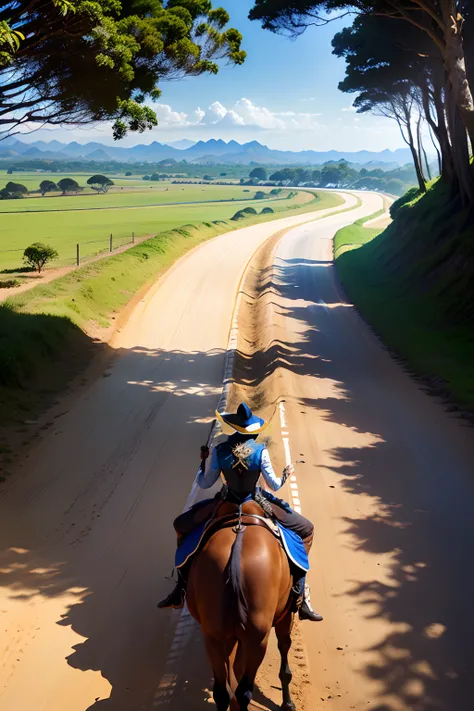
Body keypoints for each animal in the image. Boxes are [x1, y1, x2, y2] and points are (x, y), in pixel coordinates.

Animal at [186, 500, 294, 711]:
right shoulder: (286, 614)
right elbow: (284, 646)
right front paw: (287, 702)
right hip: (257, 639)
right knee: (244, 691)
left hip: (214, 636)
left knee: (223, 692)